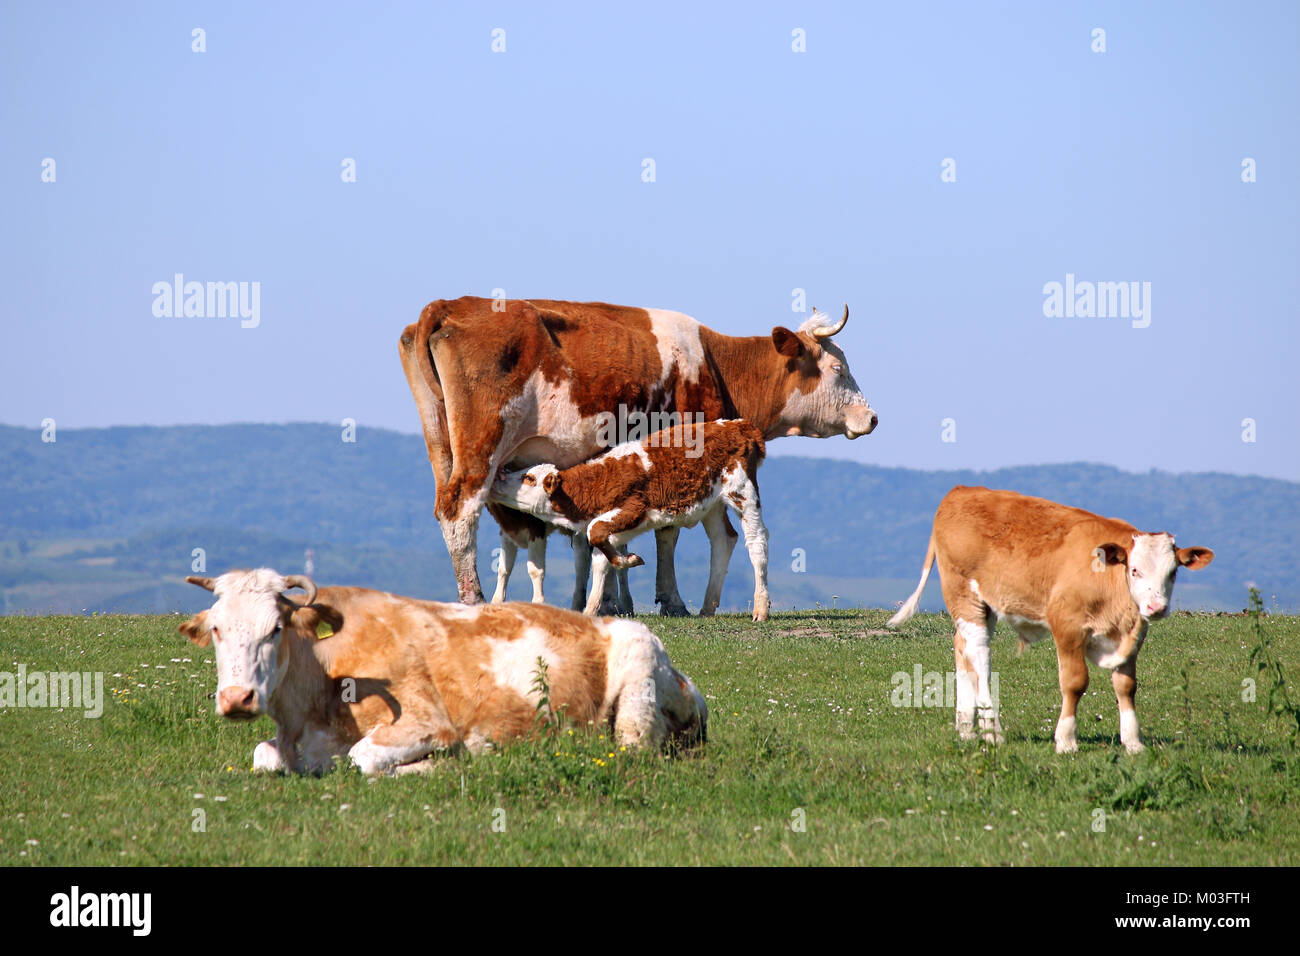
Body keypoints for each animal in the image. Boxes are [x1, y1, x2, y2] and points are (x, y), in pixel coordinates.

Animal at [178, 569, 708, 774]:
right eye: (217, 630)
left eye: (274, 629)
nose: (237, 698)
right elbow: (261, 756)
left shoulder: (425, 721)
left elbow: (363, 758)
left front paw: (438, 765)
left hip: (636, 691)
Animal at [491, 419, 770, 621]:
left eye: (528, 478)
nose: (498, 476)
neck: (598, 481)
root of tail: (739, 425)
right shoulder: (613, 527)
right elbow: (600, 559)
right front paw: (591, 608)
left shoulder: (634, 508)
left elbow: (595, 535)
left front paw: (629, 561)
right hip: (711, 505)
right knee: (723, 541)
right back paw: (707, 608)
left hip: (743, 492)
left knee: (757, 543)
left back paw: (761, 608)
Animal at [886, 487, 1214, 754]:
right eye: (1134, 570)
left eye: (1173, 572)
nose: (1156, 607)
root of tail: (960, 491)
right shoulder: (1067, 626)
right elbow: (1074, 682)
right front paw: (1066, 740)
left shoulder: (1131, 637)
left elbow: (1126, 686)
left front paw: (1133, 742)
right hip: (964, 596)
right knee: (978, 656)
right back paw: (993, 731)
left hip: (985, 604)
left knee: (962, 649)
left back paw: (967, 727)